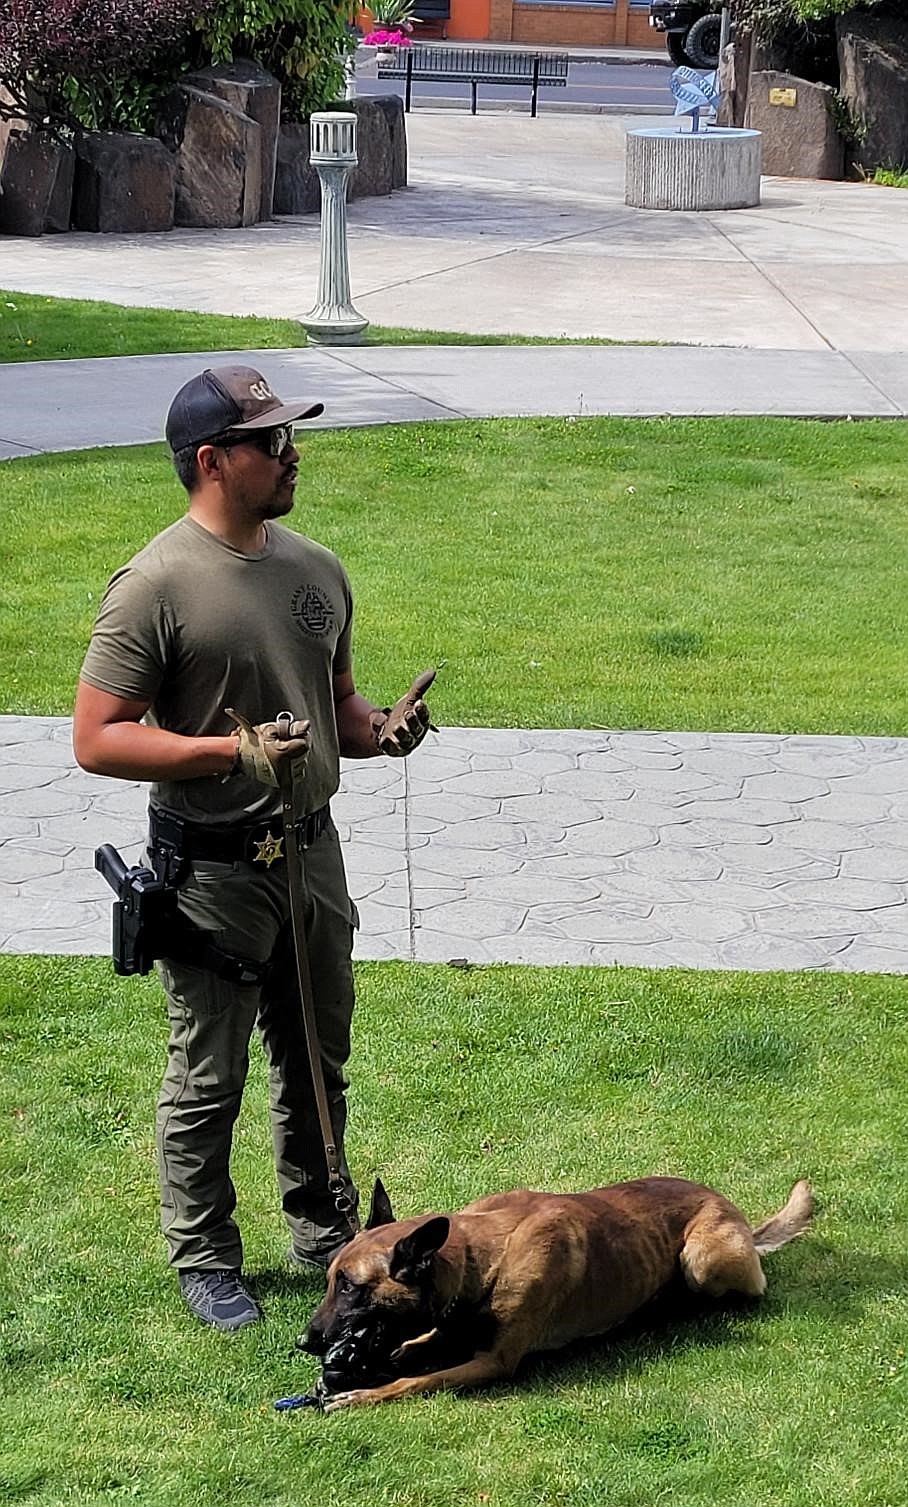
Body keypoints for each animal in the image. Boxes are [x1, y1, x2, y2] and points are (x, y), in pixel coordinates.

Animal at [302, 1169, 813, 1404]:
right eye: (330, 1280)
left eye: (349, 1286)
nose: (305, 1342)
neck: (482, 1260)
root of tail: (737, 1215)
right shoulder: (446, 1328)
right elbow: (409, 1348)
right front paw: (359, 1367)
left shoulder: (494, 1362)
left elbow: (418, 1380)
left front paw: (363, 1393)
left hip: (702, 1259)